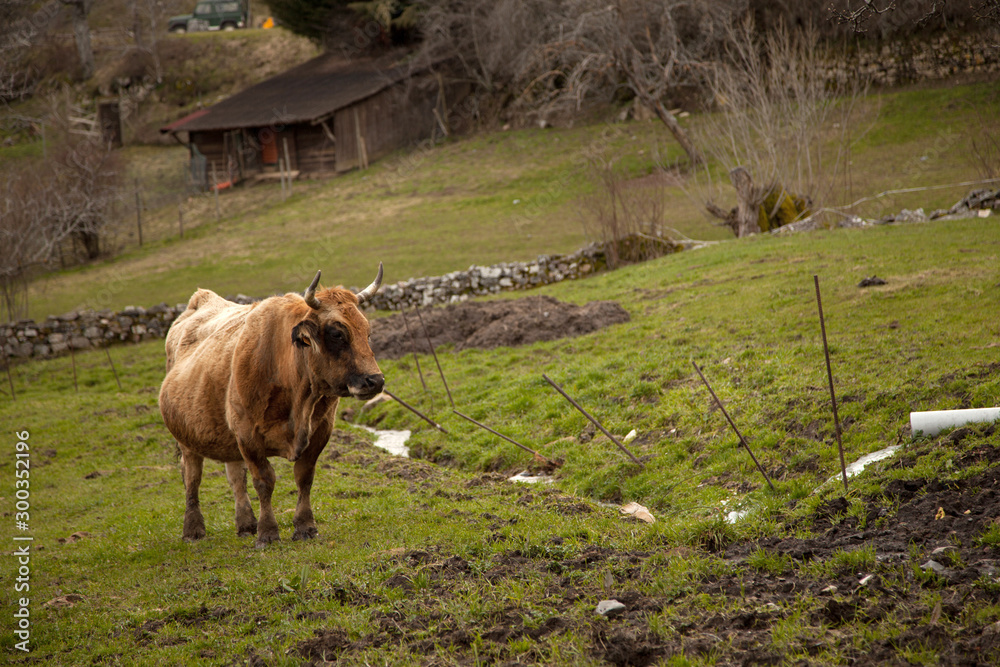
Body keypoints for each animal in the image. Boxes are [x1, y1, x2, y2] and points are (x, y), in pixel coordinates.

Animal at [158, 265, 385, 548]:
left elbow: (304, 477)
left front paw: (305, 526)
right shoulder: (248, 434)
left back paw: (246, 524)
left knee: (236, 477)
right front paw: (267, 532)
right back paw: (193, 529)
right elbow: (264, 481)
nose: (375, 380)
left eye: (367, 331)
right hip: (187, 439)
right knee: (192, 478)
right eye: (337, 333)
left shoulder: (321, 430)